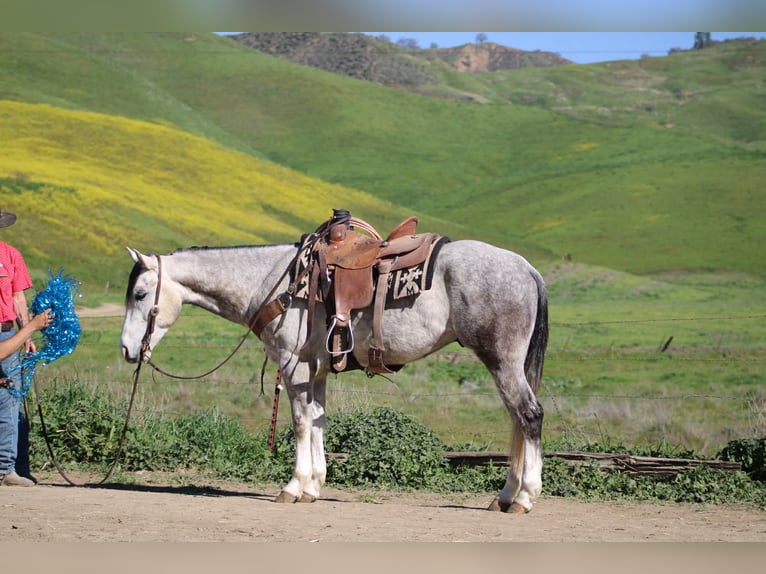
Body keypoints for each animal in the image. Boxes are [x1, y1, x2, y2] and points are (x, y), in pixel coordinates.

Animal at [119, 223, 548, 513]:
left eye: (140, 294)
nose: (126, 349)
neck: (277, 282)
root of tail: (527, 268)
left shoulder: (293, 366)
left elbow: (299, 423)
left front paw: (293, 487)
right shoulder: (317, 370)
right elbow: (318, 421)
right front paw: (314, 486)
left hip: (501, 361)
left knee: (528, 415)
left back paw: (525, 497)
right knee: (516, 419)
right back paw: (505, 496)